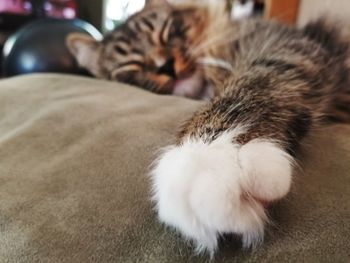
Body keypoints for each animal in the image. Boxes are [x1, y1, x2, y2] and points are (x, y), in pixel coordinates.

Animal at [67, 0, 350, 256]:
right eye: (131, 65)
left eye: (166, 32)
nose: (165, 65)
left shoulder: (280, 43)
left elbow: (253, 80)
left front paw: (210, 155)